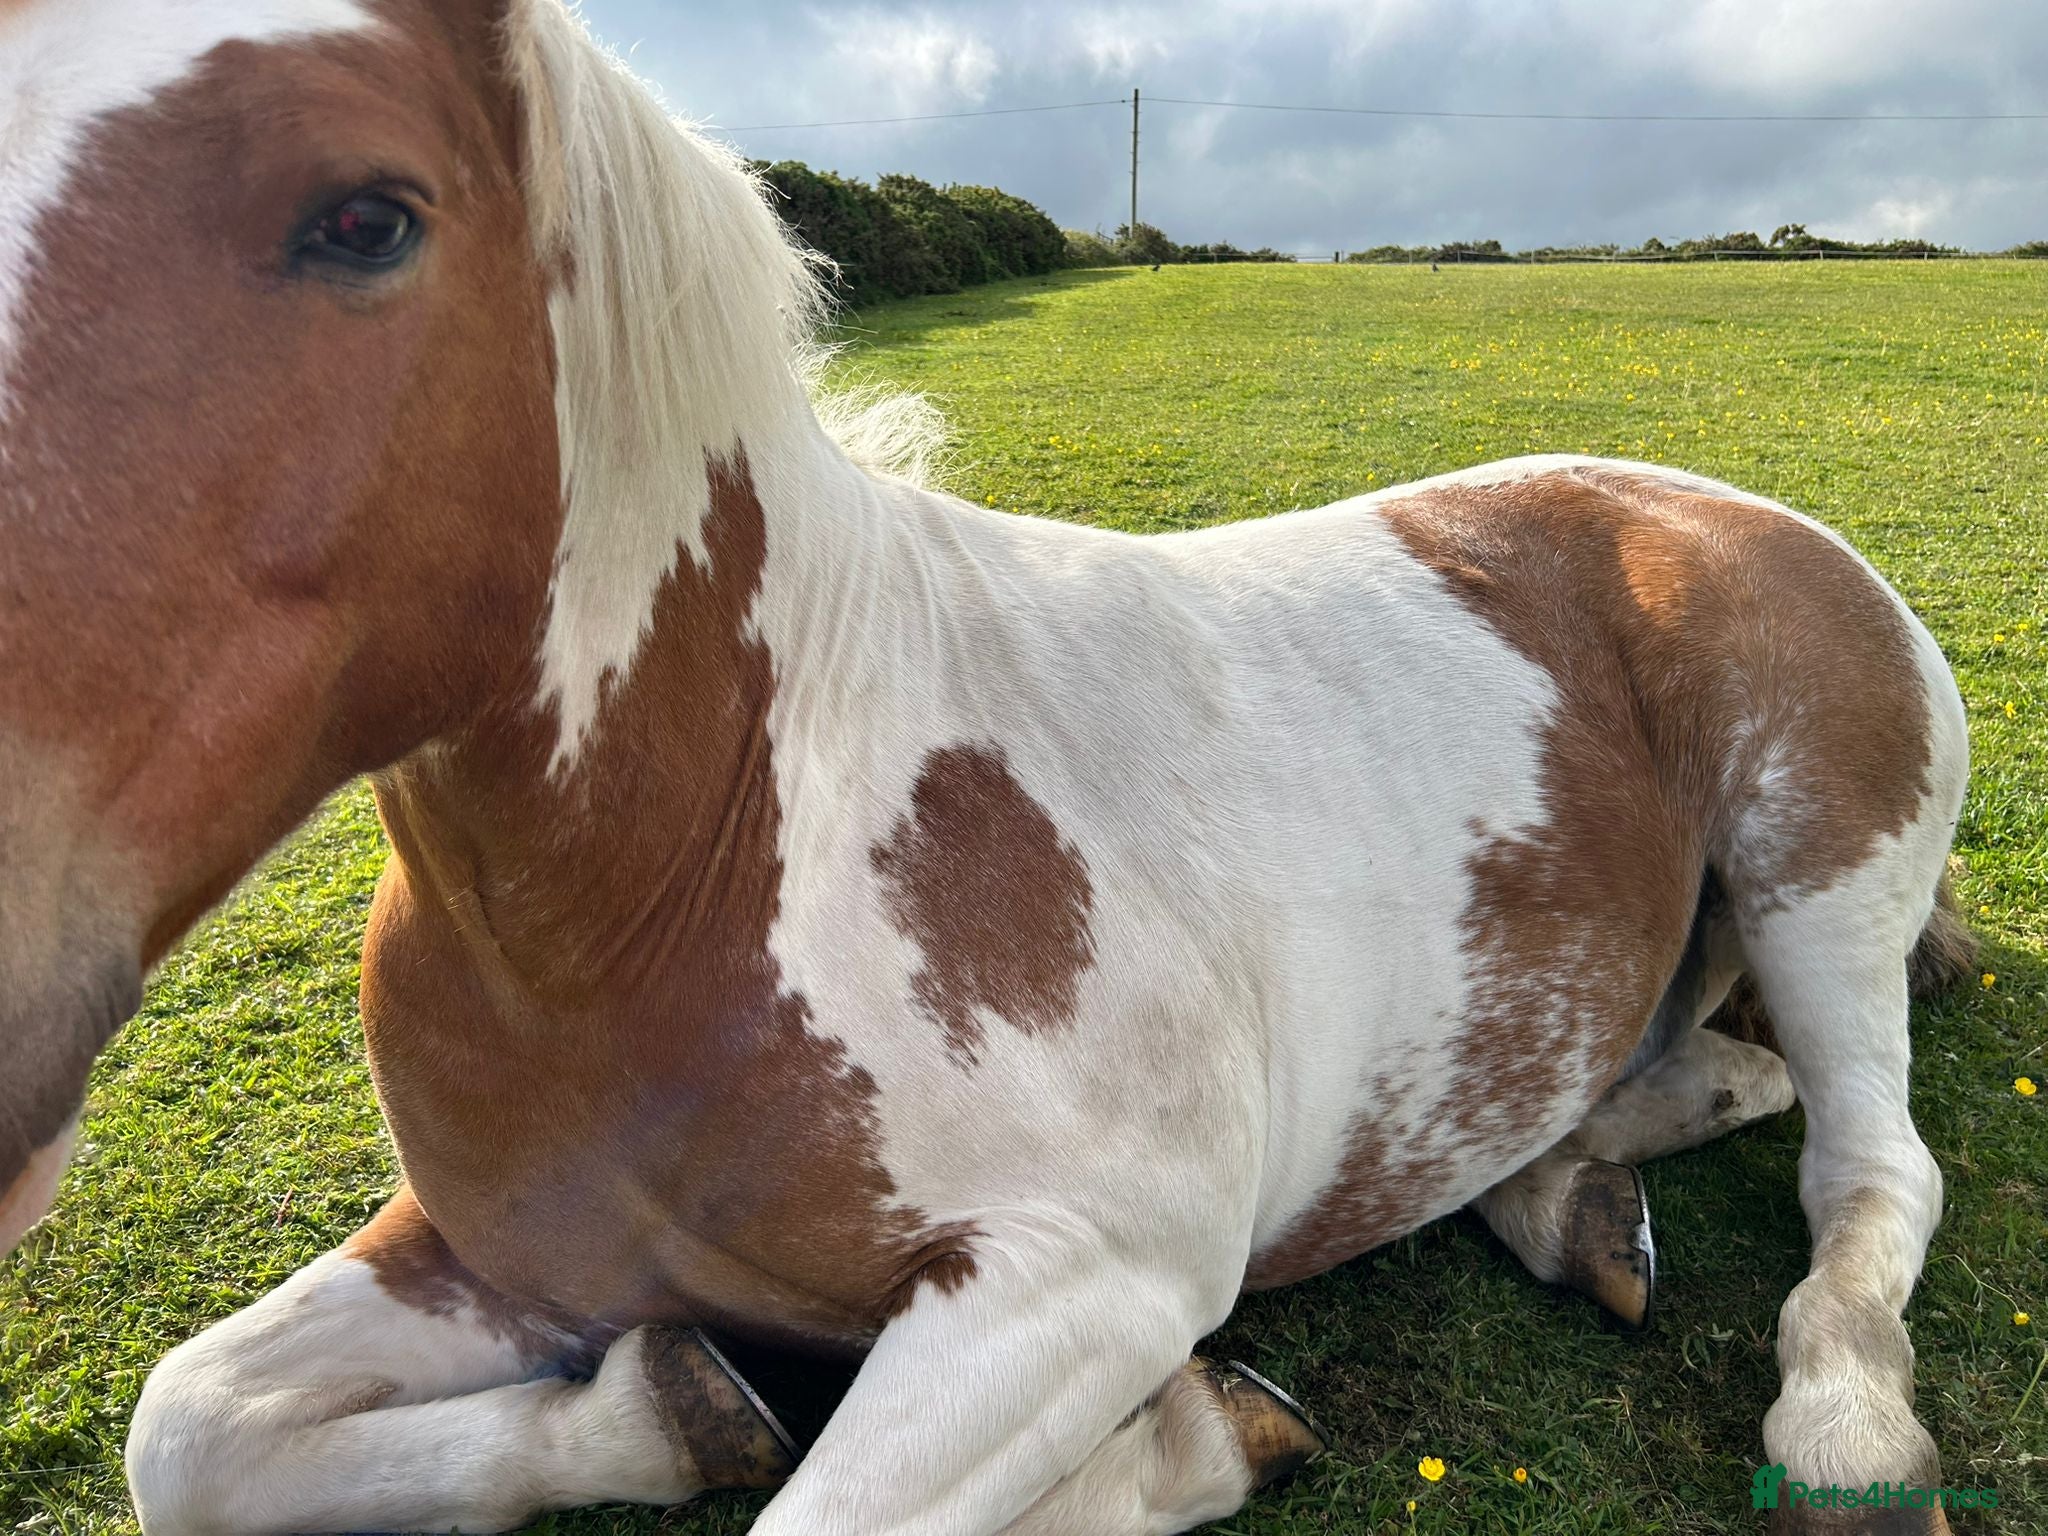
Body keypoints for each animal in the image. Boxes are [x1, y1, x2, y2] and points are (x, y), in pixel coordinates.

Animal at [0, 2, 1972, 1532]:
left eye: (364, 216)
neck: (682, 873)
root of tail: (1713, 506)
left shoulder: (1084, 1280)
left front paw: (1181, 1445)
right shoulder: (489, 1255)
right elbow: (191, 1429)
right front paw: (657, 1415)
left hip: (1819, 874)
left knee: (1866, 1168)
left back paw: (1842, 1431)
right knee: (1686, 1087)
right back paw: (1570, 1191)